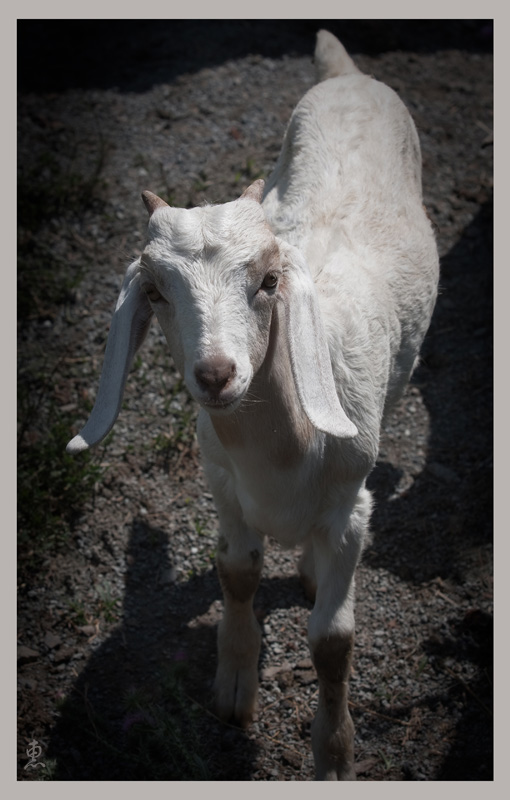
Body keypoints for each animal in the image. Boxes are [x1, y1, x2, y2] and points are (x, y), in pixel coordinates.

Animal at [65, 32, 438, 780]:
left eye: (269, 281)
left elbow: (332, 641)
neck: (279, 451)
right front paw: (234, 690)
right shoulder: (223, 488)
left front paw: (335, 755)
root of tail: (347, 74)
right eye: (156, 292)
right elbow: (235, 573)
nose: (215, 374)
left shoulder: (351, 510)